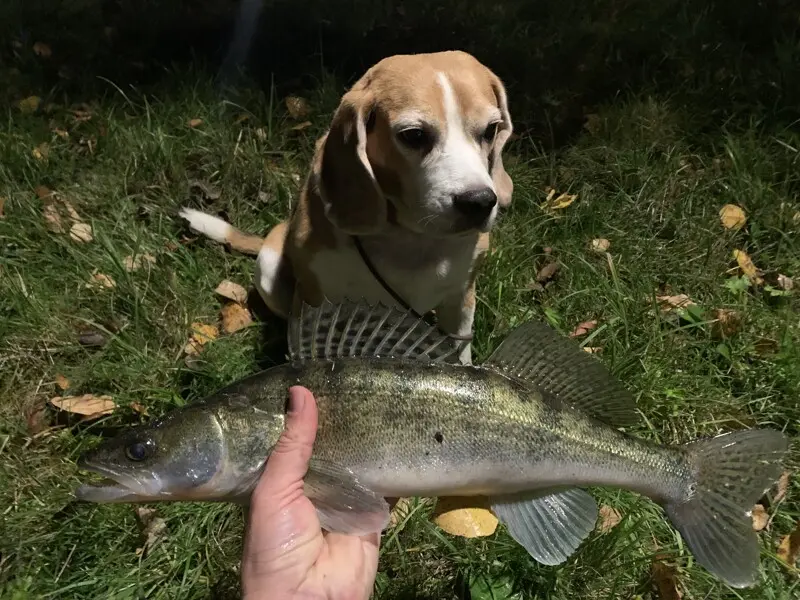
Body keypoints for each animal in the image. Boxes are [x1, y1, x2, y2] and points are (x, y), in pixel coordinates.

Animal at [180, 49, 512, 364]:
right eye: (414, 135)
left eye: (491, 130)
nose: (479, 201)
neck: (409, 240)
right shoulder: (316, 301)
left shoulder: (461, 300)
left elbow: (460, 353)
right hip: (268, 268)